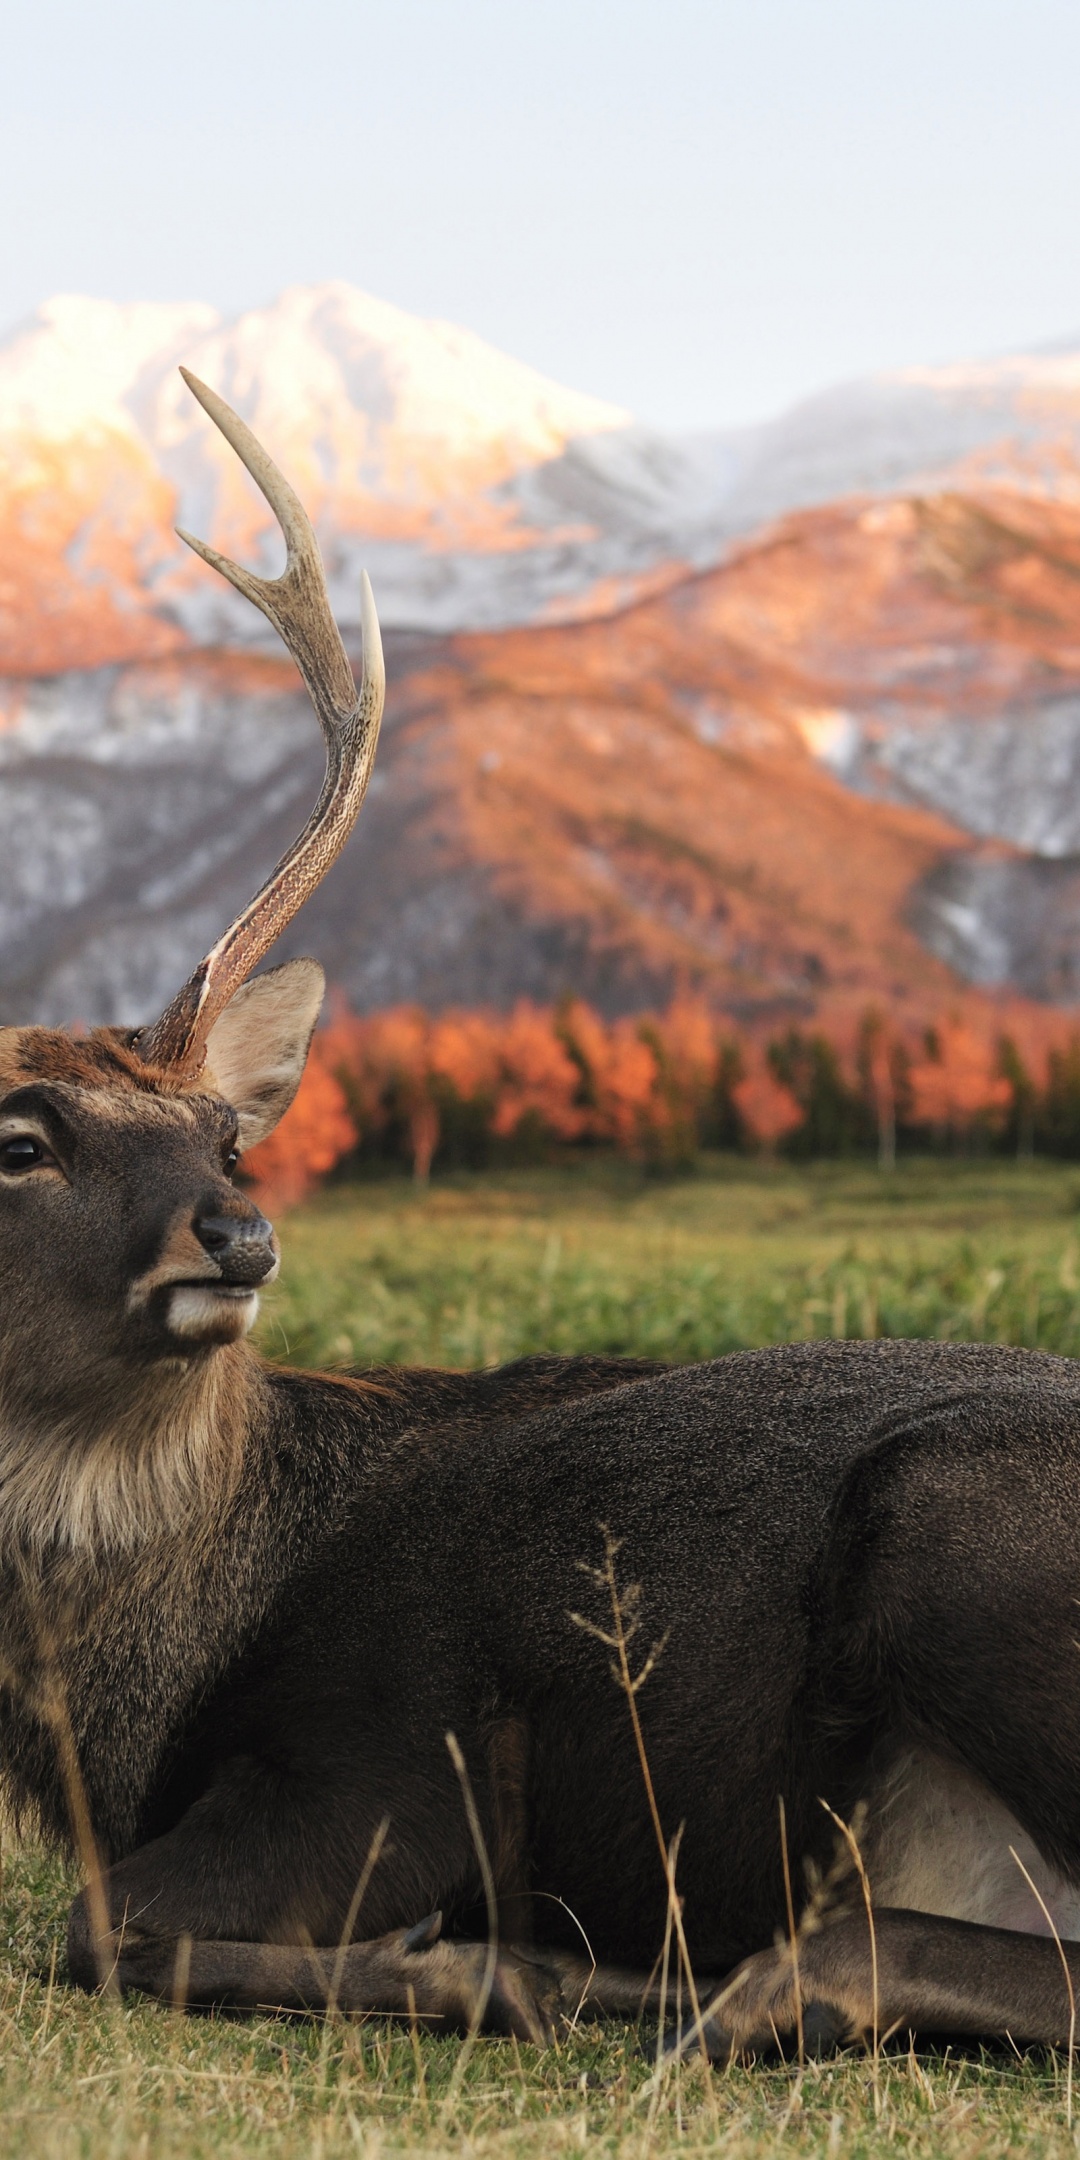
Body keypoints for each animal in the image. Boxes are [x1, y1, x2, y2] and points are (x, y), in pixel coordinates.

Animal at [2, 367, 1080, 2056]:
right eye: (20, 1139)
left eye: (223, 1140)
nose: (235, 1237)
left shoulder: (395, 1756)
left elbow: (100, 1928)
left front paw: (465, 1964)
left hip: (953, 1520)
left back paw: (641, 1980)